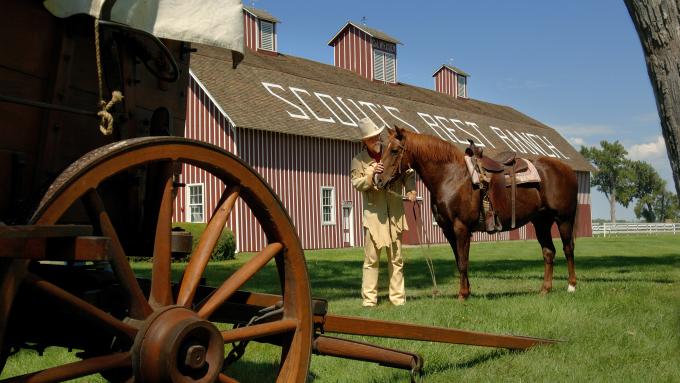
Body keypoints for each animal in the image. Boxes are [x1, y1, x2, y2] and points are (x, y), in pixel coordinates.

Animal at [374, 127, 576, 300]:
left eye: (394, 150)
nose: (378, 179)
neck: (451, 177)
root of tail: (567, 169)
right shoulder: (448, 230)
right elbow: (459, 261)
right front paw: (467, 291)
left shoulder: (461, 227)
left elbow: (463, 262)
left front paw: (463, 295)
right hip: (541, 222)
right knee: (548, 252)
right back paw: (545, 289)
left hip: (564, 219)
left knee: (568, 249)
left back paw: (571, 286)